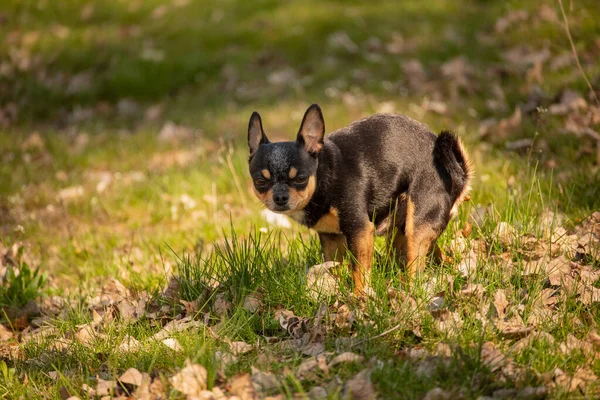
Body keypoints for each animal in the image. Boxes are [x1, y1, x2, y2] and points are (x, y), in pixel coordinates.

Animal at [246, 104, 472, 296]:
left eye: (300, 178)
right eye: (260, 181)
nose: (280, 197)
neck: (324, 174)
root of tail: (458, 175)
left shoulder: (359, 230)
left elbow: (359, 270)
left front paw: (359, 298)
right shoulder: (331, 239)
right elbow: (333, 267)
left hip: (417, 225)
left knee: (415, 269)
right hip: (406, 230)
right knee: (434, 255)